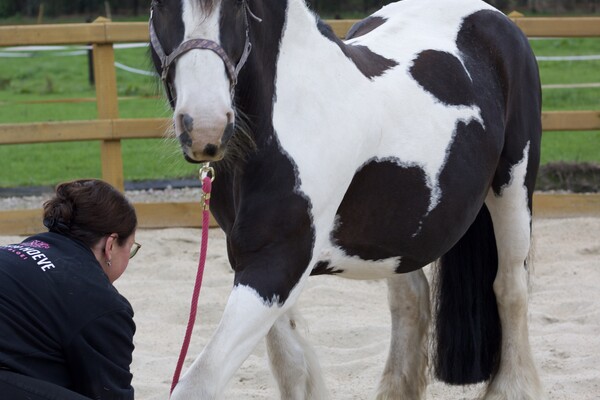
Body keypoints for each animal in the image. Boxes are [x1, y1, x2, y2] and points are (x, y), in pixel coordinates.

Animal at [149, 0, 544, 398]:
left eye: (235, 7)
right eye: (159, 6)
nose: (206, 127)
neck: (293, 115)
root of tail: (492, 16)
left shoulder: (276, 263)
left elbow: (199, 381)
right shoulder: (255, 262)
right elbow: (291, 366)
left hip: (513, 188)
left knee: (510, 288)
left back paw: (511, 388)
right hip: (401, 229)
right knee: (410, 299)